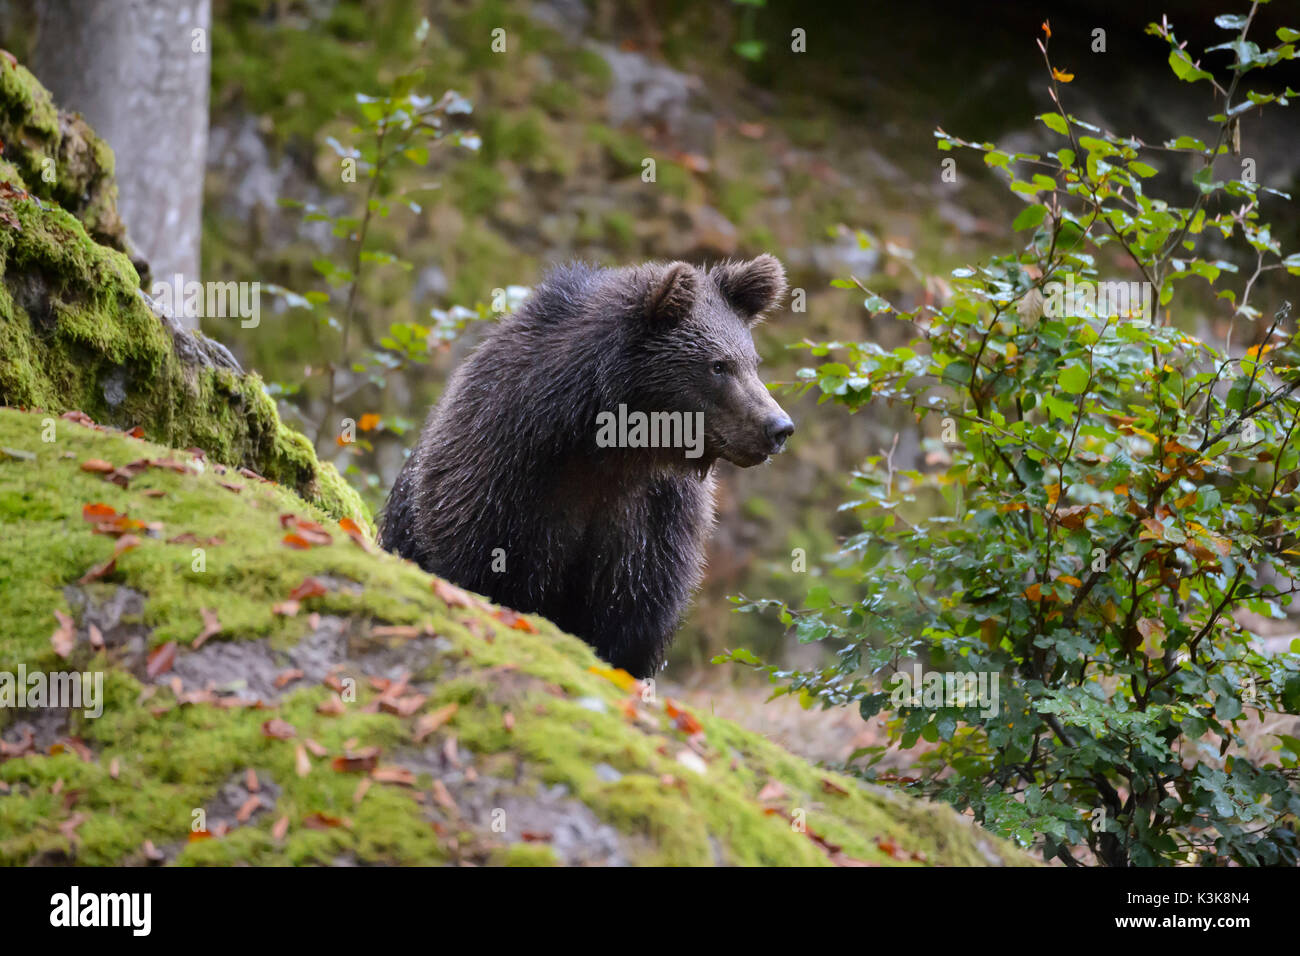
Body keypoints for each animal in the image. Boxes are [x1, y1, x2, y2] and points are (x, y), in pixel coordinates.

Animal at [379, 256, 794, 677]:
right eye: (718, 366)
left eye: (753, 362)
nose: (778, 427)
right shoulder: (500, 483)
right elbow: (484, 574)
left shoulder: (651, 520)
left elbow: (632, 620)